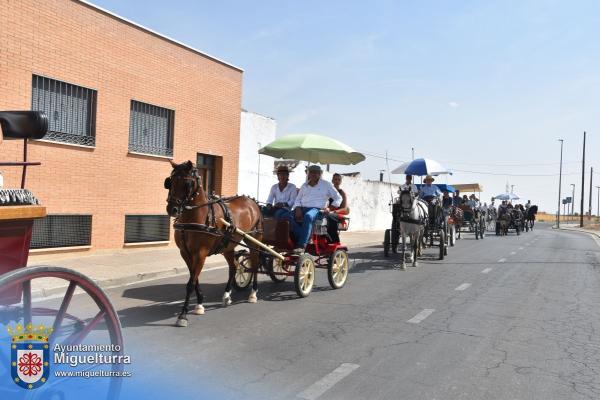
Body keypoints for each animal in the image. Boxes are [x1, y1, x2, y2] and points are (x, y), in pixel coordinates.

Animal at [164, 160, 262, 328]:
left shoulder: (200, 253)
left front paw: (183, 315)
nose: (172, 209)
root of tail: (251, 201)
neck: (195, 217)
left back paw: (253, 293)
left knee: (254, 264)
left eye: (187, 183)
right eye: (170, 182)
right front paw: (199, 304)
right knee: (233, 267)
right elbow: (194, 278)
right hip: (228, 246)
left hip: (253, 240)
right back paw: (227, 295)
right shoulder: (185, 253)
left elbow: (191, 283)